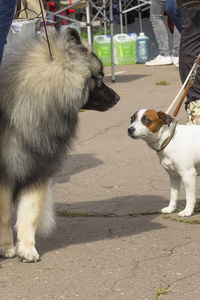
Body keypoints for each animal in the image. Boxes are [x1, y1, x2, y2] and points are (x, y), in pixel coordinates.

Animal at [0, 28, 119, 262]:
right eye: (99, 79)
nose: (117, 97)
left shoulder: (37, 172)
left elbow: (29, 213)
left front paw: (27, 248)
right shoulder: (5, 174)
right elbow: (4, 216)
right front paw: (6, 247)